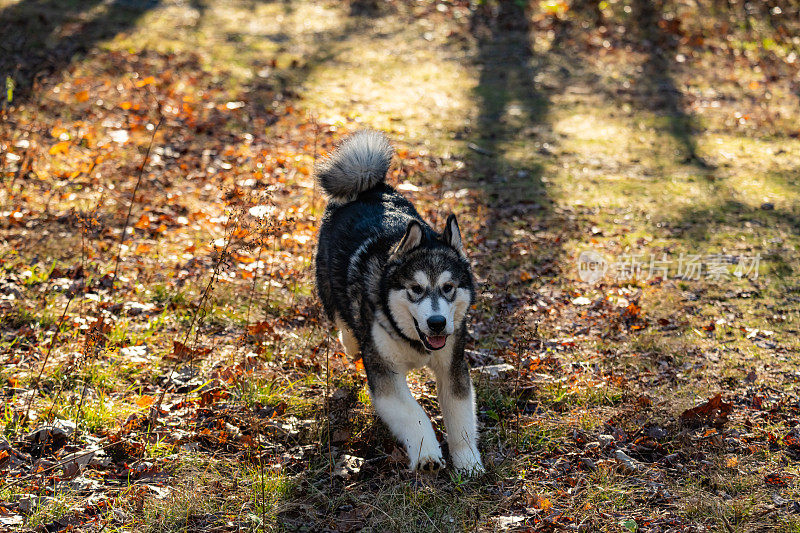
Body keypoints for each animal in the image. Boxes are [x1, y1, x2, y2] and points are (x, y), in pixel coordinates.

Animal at [316, 129, 484, 474]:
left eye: (448, 287)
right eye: (415, 288)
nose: (437, 323)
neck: (414, 342)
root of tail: (370, 188)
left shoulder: (453, 365)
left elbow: (460, 414)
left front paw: (467, 460)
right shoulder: (385, 376)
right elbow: (413, 413)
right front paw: (428, 454)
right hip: (328, 288)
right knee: (343, 321)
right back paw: (350, 340)